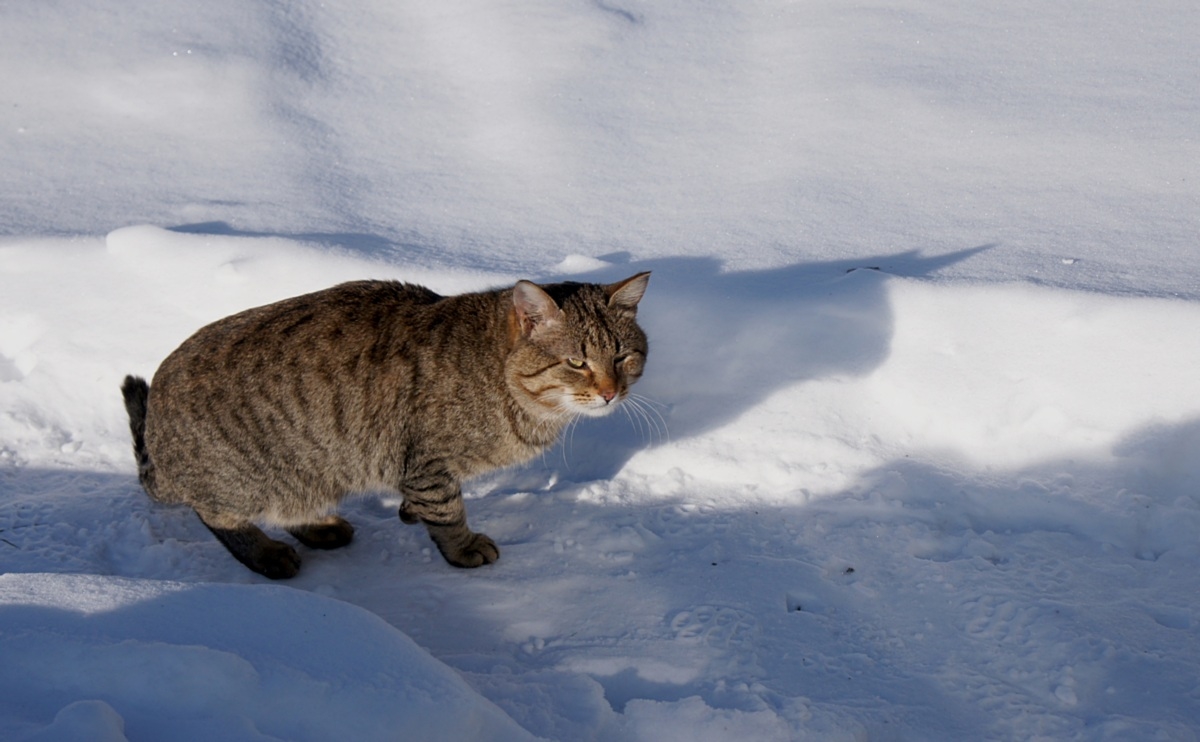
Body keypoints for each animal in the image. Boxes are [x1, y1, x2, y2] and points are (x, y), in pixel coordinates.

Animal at [119, 271, 648, 578]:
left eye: (623, 356)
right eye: (577, 362)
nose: (611, 391)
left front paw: (409, 513)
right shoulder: (428, 463)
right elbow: (448, 513)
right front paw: (461, 548)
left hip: (309, 471)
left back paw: (320, 527)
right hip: (248, 479)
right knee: (214, 514)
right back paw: (266, 554)